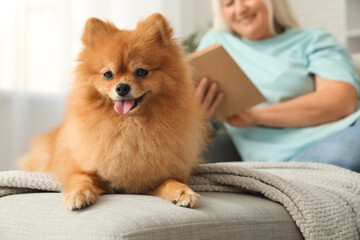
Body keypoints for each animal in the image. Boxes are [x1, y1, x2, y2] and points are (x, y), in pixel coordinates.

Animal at [21, 14, 208, 211]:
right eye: (108, 74)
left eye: (142, 72)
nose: (122, 87)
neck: (129, 126)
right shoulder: (81, 168)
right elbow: (81, 178)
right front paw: (78, 194)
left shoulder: (155, 177)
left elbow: (172, 181)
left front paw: (183, 192)